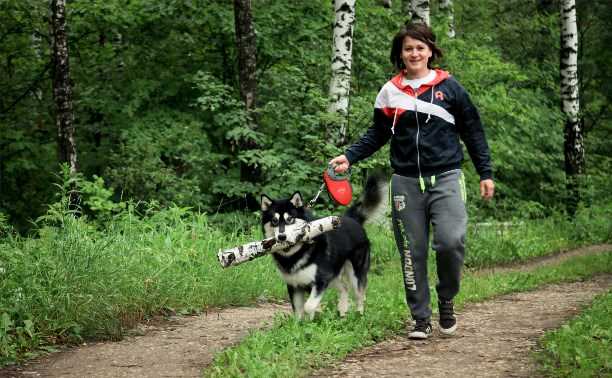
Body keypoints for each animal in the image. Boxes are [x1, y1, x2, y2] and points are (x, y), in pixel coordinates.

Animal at [260, 174, 384, 318]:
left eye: (290, 219)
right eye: (274, 221)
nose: (281, 237)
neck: (296, 254)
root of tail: (352, 219)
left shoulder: (320, 281)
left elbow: (308, 306)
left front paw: (315, 314)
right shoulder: (294, 285)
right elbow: (298, 312)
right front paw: (303, 322)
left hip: (354, 274)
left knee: (360, 295)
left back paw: (359, 315)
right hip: (333, 275)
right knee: (344, 288)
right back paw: (342, 311)